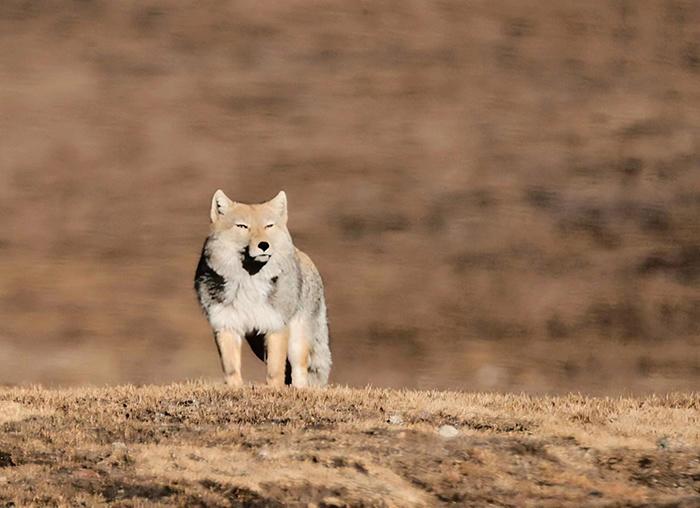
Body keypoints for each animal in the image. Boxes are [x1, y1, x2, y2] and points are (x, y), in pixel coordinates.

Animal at [194, 192, 330, 386]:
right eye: (242, 226)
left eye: (269, 226)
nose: (264, 245)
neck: (249, 283)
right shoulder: (226, 325)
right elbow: (232, 371)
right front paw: (235, 389)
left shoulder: (276, 326)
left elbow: (274, 372)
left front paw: (275, 390)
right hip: (257, 344)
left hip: (296, 343)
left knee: (299, 372)